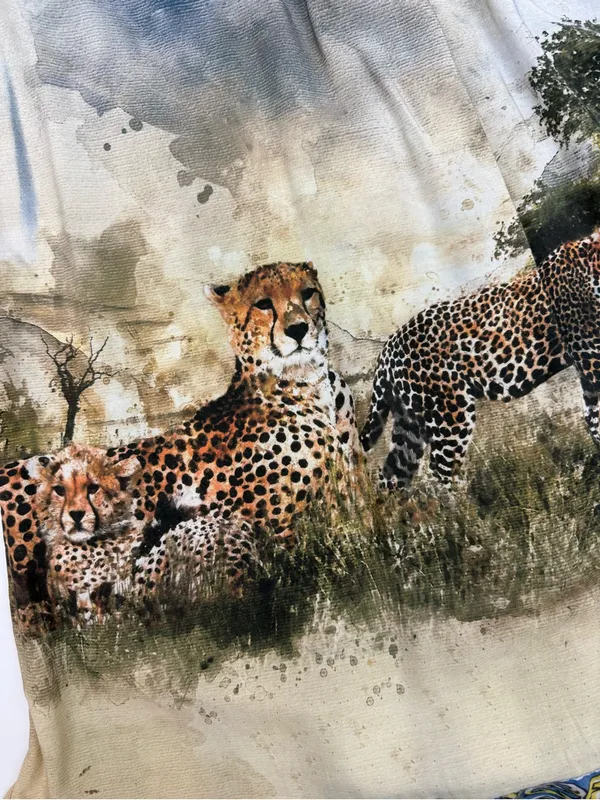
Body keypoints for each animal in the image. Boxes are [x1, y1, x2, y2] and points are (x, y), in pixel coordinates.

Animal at [360, 232, 600, 489]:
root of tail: (386, 353)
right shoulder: (592, 361)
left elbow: (593, 418)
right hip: (449, 415)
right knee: (439, 470)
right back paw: (468, 499)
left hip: (410, 423)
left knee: (392, 475)